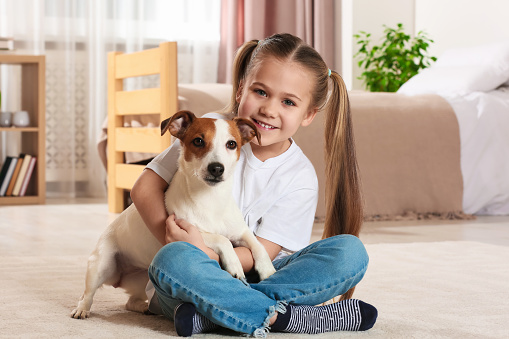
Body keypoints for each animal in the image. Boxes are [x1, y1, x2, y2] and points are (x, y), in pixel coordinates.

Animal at [71, 111, 274, 322]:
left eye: (232, 144)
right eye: (198, 141)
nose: (217, 168)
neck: (211, 198)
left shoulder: (240, 232)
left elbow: (257, 245)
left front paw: (267, 269)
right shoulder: (188, 230)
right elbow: (222, 239)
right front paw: (234, 264)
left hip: (141, 280)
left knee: (131, 302)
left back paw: (144, 308)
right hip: (101, 264)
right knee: (87, 294)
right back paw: (81, 309)